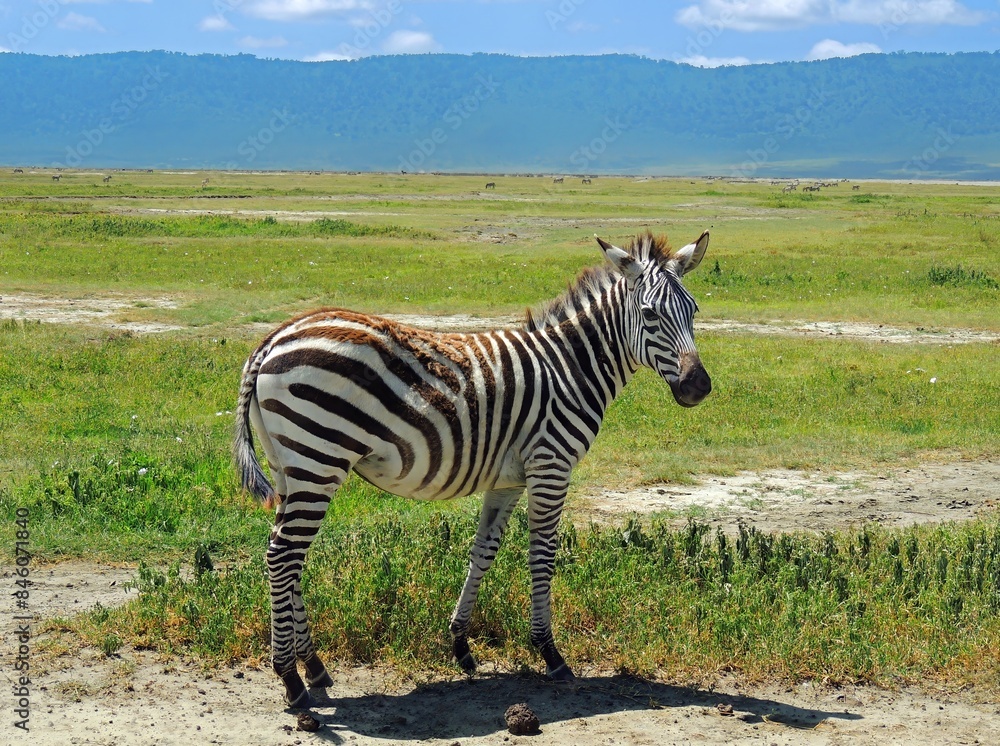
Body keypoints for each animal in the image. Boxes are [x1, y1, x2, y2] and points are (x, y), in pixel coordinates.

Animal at [234, 229, 712, 707]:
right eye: (649, 314)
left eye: (693, 311)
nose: (699, 387)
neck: (571, 370)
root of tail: (274, 338)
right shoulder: (551, 465)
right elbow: (542, 556)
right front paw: (549, 653)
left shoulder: (508, 480)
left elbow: (483, 551)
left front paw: (461, 645)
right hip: (319, 458)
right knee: (282, 555)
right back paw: (291, 681)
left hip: (291, 466)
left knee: (290, 557)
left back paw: (313, 666)